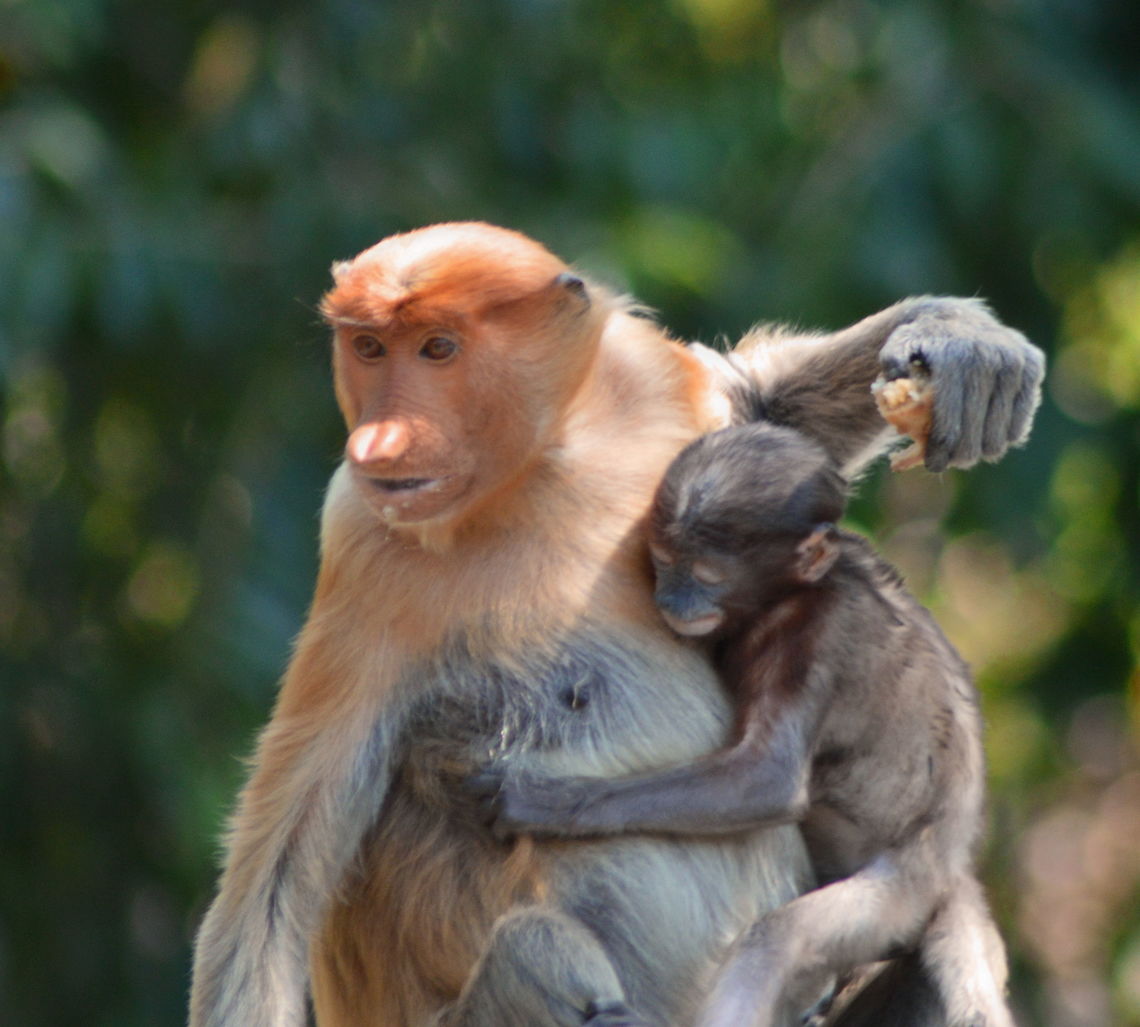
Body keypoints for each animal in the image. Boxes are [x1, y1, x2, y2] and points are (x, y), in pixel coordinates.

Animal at [473, 419, 1014, 1027]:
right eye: (663, 561)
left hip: (894, 896)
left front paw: (548, 802)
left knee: (772, 941)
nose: (671, 597)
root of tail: (948, 868)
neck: (796, 594)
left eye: (705, 574)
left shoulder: (811, 638)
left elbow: (768, 780)